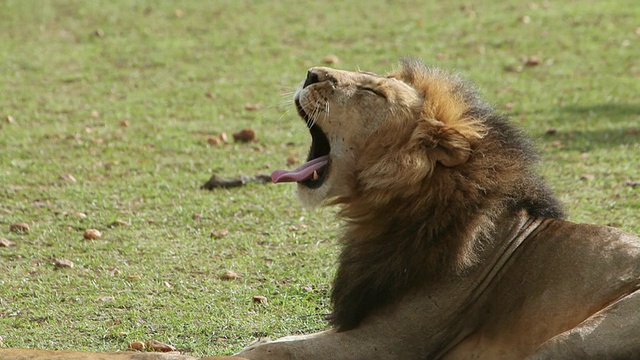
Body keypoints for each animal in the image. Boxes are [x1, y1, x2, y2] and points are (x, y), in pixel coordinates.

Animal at [236, 57, 640, 358]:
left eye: (371, 91)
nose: (310, 74)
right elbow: (270, 342)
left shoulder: (386, 344)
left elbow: (269, 350)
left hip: (569, 340)